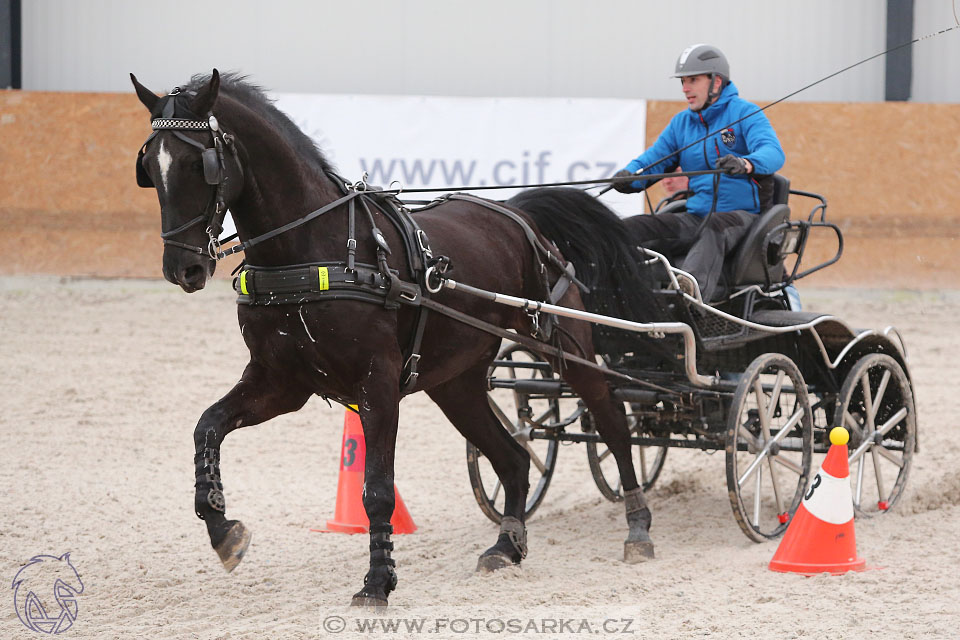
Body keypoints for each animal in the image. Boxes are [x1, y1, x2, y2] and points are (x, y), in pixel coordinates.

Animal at [131, 70, 660, 604]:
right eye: (149, 167)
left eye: (201, 164)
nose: (182, 268)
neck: (309, 251)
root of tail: (516, 213)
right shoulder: (280, 383)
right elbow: (208, 426)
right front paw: (223, 529)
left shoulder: (378, 384)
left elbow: (377, 490)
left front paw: (377, 582)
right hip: (456, 383)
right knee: (512, 459)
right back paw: (506, 546)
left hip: (564, 346)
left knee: (613, 422)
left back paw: (637, 526)